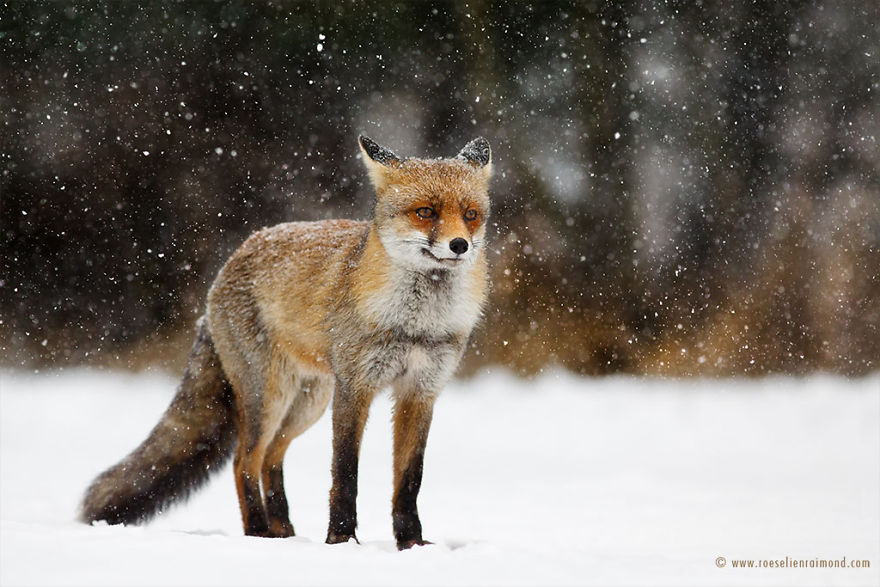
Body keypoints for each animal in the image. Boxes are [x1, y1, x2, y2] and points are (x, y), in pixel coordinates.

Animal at [79, 135, 492, 550]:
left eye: (471, 214)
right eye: (426, 211)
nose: (459, 245)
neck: (415, 324)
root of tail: (231, 261)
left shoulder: (420, 392)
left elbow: (409, 478)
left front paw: (411, 543)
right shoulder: (354, 388)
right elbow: (345, 473)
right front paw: (341, 538)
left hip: (307, 403)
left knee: (271, 458)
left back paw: (283, 530)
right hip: (270, 397)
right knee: (244, 461)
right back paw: (258, 530)